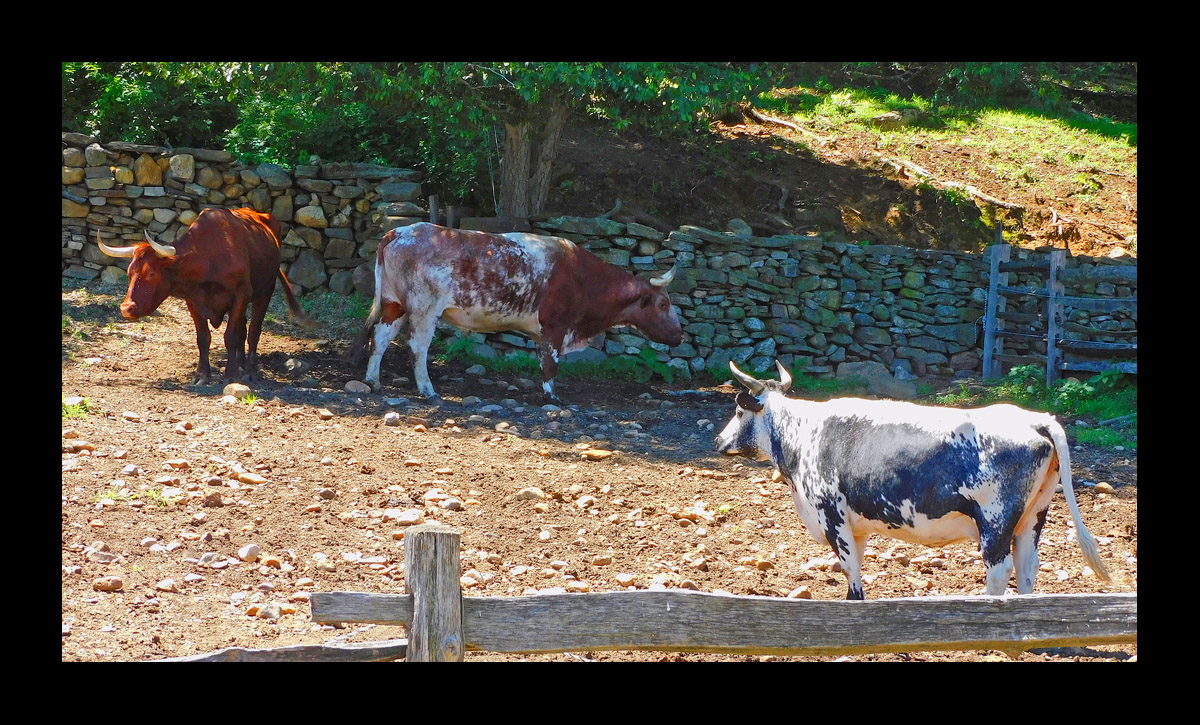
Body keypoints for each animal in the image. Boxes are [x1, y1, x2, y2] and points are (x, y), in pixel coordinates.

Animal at [99, 207, 314, 384]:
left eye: (151, 273)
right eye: (129, 272)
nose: (126, 308)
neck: (210, 259)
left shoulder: (241, 295)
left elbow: (231, 336)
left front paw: (230, 374)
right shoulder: (193, 301)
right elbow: (203, 338)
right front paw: (202, 375)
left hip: (264, 292)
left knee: (253, 331)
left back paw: (250, 371)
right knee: (244, 329)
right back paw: (241, 365)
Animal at [355, 223, 683, 400]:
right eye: (663, 304)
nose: (680, 336)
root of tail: (400, 230)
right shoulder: (555, 326)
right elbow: (550, 365)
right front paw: (552, 397)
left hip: (393, 305)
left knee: (381, 338)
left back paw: (373, 381)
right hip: (425, 310)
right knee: (418, 347)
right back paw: (427, 389)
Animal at [714, 360, 1112, 599]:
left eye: (738, 411)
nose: (718, 440)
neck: (803, 434)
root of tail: (1035, 419)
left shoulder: (832, 516)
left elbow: (851, 571)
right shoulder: (856, 526)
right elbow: (855, 568)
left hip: (995, 521)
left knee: (1000, 571)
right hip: (1032, 517)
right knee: (1028, 566)